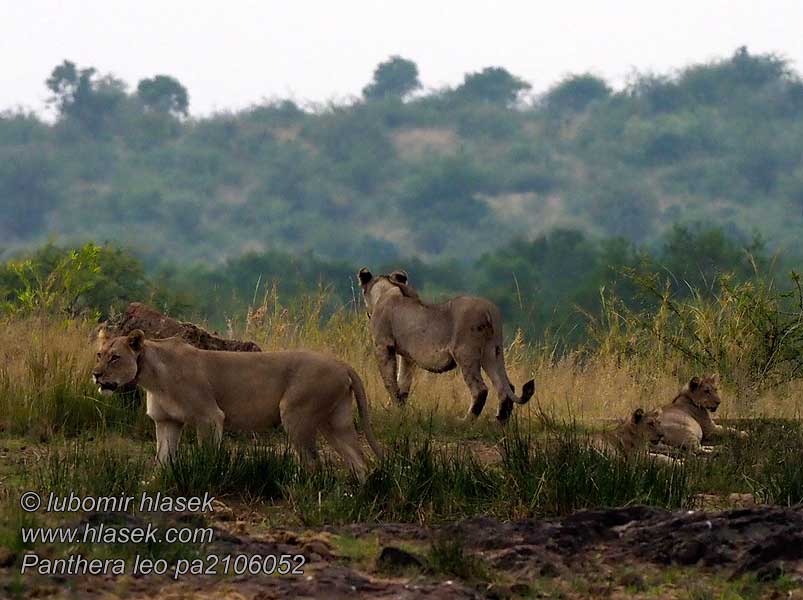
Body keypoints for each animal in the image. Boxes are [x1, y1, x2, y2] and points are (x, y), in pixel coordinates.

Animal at [92, 330, 382, 476]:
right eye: (99, 354)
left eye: (115, 357)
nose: (96, 374)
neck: (151, 376)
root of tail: (342, 364)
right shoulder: (167, 422)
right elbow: (164, 458)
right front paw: (157, 484)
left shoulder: (209, 416)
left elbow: (207, 455)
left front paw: (205, 477)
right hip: (335, 423)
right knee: (358, 461)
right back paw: (357, 495)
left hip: (295, 414)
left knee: (313, 462)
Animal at [356, 268, 532, 422]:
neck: (387, 289)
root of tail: (490, 309)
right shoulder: (407, 356)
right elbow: (403, 383)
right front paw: (399, 410)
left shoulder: (383, 345)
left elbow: (390, 382)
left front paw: (393, 410)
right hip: (491, 352)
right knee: (505, 387)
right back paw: (500, 422)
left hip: (465, 353)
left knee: (481, 389)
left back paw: (465, 421)